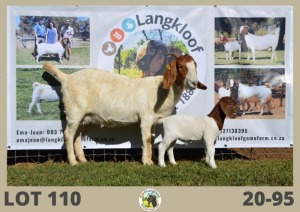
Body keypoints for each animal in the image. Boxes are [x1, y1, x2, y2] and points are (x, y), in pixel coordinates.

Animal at [42, 53, 206, 166]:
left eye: (195, 65)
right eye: (180, 67)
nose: (194, 83)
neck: (161, 90)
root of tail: (67, 78)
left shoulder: (153, 121)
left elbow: (152, 139)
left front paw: (152, 158)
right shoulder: (145, 118)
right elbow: (146, 139)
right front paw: (147, 162)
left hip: (84, 117)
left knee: (77, 136)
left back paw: (82, 159)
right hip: (74, 113)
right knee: (68, 135)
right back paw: (73, 162)